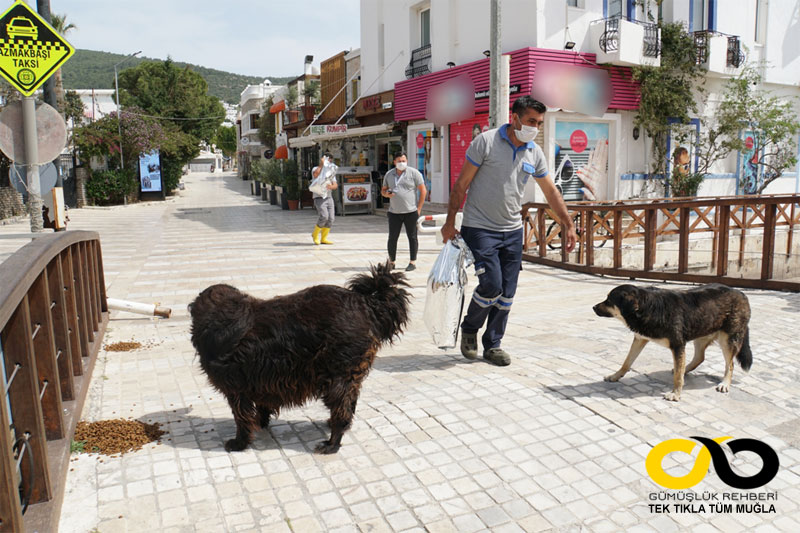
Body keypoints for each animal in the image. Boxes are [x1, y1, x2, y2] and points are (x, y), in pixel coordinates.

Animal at [190, 262, 410, 454]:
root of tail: (366, 303)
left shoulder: (237, 390)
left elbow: (242, 419)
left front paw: (239, 443)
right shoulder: (260, 380)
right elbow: (261, 406)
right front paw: (261, 423)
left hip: (337, 379)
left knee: (342, 411)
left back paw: (332, 443)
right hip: (350, 377)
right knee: (350, 405)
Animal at [592, 282, 752, 400]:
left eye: (609, 300)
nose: (593, 307)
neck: (647, 307)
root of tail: (741, 294)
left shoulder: (678, 345)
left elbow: (677, 378)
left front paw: (676, 394)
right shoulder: (640, 339)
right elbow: (627, 362)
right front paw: (615, 376)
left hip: (727, 339)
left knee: (730, 365)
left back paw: (725, 383)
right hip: (701, 332)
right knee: (699, 358)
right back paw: (684, 368)